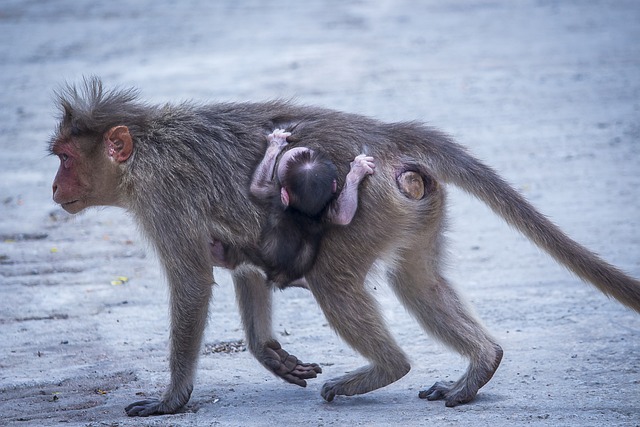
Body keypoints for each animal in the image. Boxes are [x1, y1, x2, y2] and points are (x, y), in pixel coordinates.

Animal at [210, 128, 372, 288]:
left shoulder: (274, 195)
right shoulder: (326, 211)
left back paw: (219, 254)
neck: (303, 212)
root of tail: (278, 277)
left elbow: (256, 189)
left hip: (254, 255)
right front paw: (357, 172)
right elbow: (343, 216)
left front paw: (275, 144)